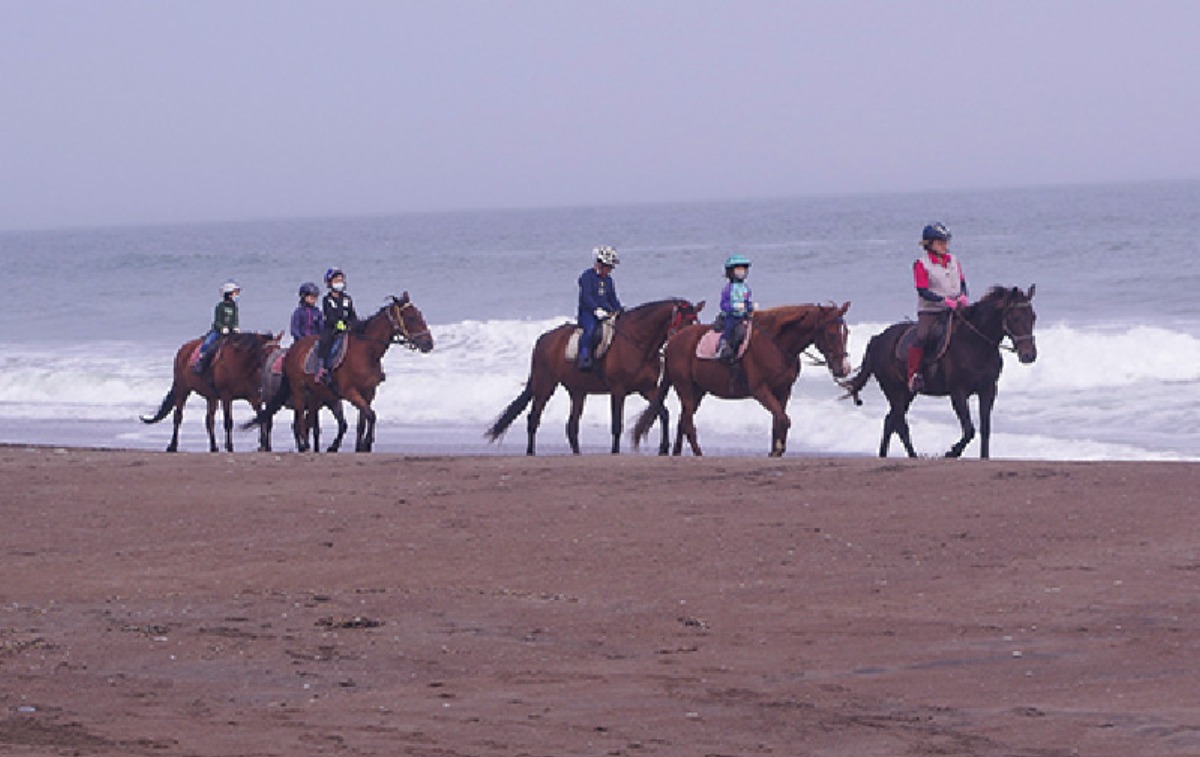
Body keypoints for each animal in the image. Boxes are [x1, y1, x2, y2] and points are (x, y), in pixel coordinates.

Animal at [141, 331, 282, 451]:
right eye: (266, 352)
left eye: (278, 349)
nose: (273, 367)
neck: (240, 364)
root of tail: (183, 349)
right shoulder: (226, 396)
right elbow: (228, 421)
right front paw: (230, 446)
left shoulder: (253, 396)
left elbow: (261, 416)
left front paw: (264, 445)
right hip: (182, 389)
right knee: (178, 416)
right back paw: (172, 446)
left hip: (211, 397)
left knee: (209, 420)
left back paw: (214, 447)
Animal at [246, 292, 434, 453]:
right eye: (411, 317)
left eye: (419, 314)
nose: (429, 344)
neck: (366, 352)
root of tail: (292, 350)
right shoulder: (350, 392)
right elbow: (370, 415)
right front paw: (364, 444)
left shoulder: (368, 393)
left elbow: (363, 420)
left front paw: (360, 446)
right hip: (299, 391)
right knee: (299, 421)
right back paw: (304, 446)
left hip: (315, 395)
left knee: (307, 422)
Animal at [482, 298, 700, 455]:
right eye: (684, 321)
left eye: (695, 322)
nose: (685, 341)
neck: (637, 342)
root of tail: (544, 338)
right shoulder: (618, 390)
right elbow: (617, 424)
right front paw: (615, 452)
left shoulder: (647, 388)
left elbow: (662, 413)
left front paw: (663, 448)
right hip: (545, 386)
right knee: (533, 418)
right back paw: (530, 452)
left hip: (578, 392)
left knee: (571, 425)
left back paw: (577, 453)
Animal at [628, 303, 854, 458]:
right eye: (831, 334)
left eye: (847, 332)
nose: (844, 369)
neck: (778, 345)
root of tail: (673, 341)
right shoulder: (761, 390)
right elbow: (783, 419)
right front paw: (777, 450)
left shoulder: (783, 390)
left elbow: (778, 420)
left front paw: (776, 450)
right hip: (686, 388)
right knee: (688, 422)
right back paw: (699, 454)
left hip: (697, 391)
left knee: (684, 420)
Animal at [840, 286, 1036, 458]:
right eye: (1015, 318)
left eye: (1033, 317)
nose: (1029, 355)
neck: (975, 344)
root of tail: (877, 339)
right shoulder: (958, 393)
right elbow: (969, 430)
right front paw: (951, 452)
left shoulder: (988, 390)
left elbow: (985, 429)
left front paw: (984, 458)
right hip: (894, 390)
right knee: (900, 423)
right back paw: (913, 456)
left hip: (907, 392)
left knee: (891, 421)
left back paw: (885, 455)